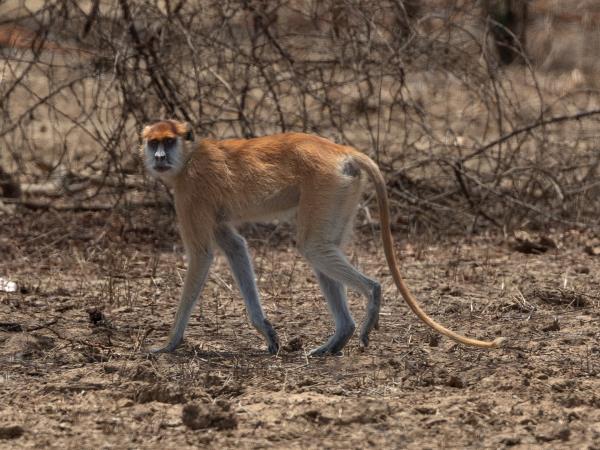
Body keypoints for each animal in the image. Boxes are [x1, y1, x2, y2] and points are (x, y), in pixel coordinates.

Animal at [142, 119, 506, 356]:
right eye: (153, 142)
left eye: (168, 142)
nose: (158, 158)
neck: (190, 156)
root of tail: (342, 151)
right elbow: (235, 248)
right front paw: (266, 332)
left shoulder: (191, 193)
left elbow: (202, 254)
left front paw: (169, 344)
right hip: (343, 191)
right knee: (323, 249)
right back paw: (339, 337)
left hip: (326, 184)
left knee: (314, 248)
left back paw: (371, 297)